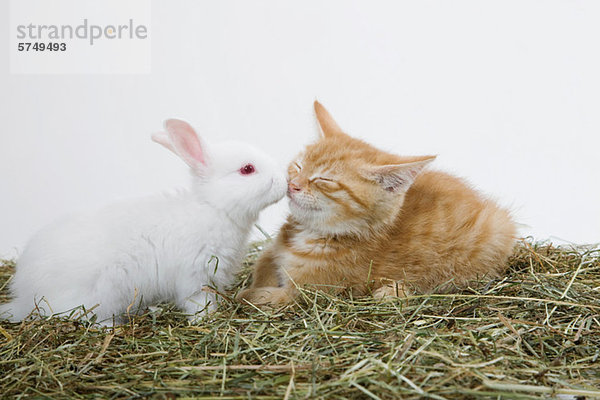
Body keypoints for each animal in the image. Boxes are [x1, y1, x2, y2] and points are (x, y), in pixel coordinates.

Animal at [0, 119, 288, 324]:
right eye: (247, 169)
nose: (283, 182)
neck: (213, 207)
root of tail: (26, 294)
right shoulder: (195, 273)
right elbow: (198, 301)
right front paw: (208, 318)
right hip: (102, 294)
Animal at [238, 101, 516, 304]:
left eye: (324, 180)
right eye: (298, 166)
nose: (293, 185)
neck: (312, 233)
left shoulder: (309, 293)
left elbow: (263, 298)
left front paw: (243, 295)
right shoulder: (273, 251)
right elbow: (262, 265)